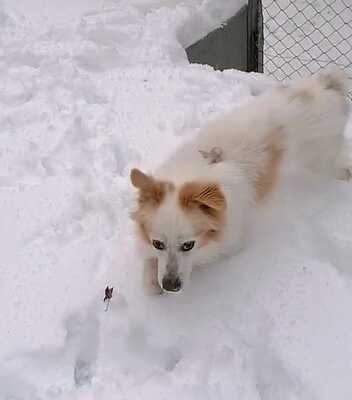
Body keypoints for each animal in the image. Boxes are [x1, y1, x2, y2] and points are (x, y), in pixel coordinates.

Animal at [129, 68, 350, 294]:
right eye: (158, 244)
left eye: (188, 245)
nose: (170, 286)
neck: (202, 169)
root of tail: (326, 84)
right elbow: (149, 264)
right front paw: (151, 278)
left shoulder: (230, 242)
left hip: (320, 158)